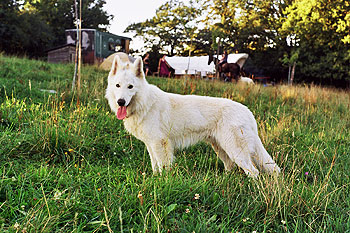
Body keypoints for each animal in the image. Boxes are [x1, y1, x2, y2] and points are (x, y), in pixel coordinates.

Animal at [105, 53, 280, 177]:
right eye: (118, 85)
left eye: (130, 87)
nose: (121, 102)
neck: (145, 103)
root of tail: (247, 111)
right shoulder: (151, 145)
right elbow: (155, 166)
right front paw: (154, 178)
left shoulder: (160, 144)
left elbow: (163, 167)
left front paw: (162, 181)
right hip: (221, 148)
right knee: (231, 167)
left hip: (235, 150)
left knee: (253, 172)